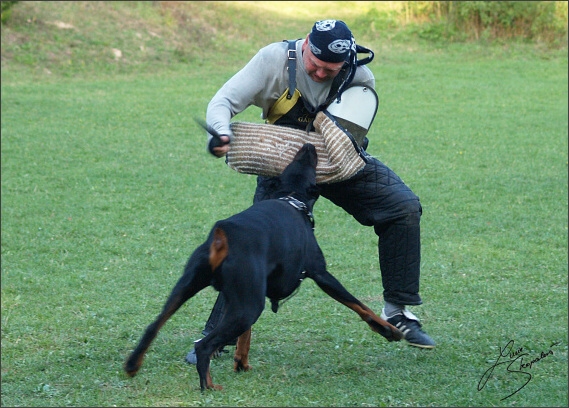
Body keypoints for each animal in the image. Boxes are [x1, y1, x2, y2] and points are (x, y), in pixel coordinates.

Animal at [122, 143, 402, 388]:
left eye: (297, 159)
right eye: (308, 162)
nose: (308, 145)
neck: (291, 198)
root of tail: (223, 238)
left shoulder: (253, 290)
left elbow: (245, 336)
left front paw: (241, 363)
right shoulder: (321, 274)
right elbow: (360, 305)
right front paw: (388, 330)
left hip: (188, 287)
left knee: (154, 325)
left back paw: (133, 365)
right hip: (248, 306)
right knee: (203, 346)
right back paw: (209, 386)